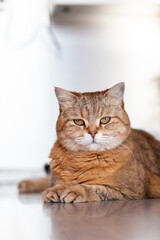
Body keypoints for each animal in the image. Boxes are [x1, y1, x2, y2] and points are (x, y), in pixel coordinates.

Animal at [18, 82, 160, 202]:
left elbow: (96, 187)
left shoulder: (129, 191)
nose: (92, 132)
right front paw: (57, 189)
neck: (81, 160)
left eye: (105, 120)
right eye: (79, 122)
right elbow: (57, 183)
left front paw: (76, 190)